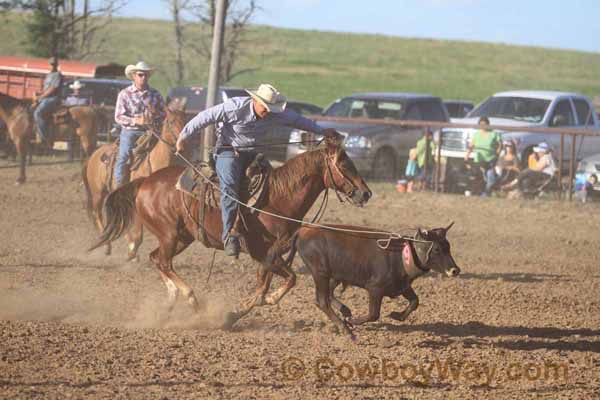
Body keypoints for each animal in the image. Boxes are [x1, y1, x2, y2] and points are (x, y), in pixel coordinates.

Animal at [81, 99, 186, 260]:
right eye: (171, 121)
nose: (183, 143)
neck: (155, 162)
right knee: (97, 214)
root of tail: (94, 154)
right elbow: (138, 231)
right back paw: (108, 245)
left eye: (185, 120)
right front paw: (132, 251)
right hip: (98, 192)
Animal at [90, 137, 370, 328]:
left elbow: (264, 285)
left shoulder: (271, 255)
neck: (277, 198)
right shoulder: (263, 252)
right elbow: (288, 280)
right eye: (344, 164)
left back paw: (171, 301)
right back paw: (191, 299)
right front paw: (262, 302)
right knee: (164, 262)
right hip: (169, 235)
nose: (366, 193)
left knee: (156, 259)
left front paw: (239, 311)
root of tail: (144, 182)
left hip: (182, 237)